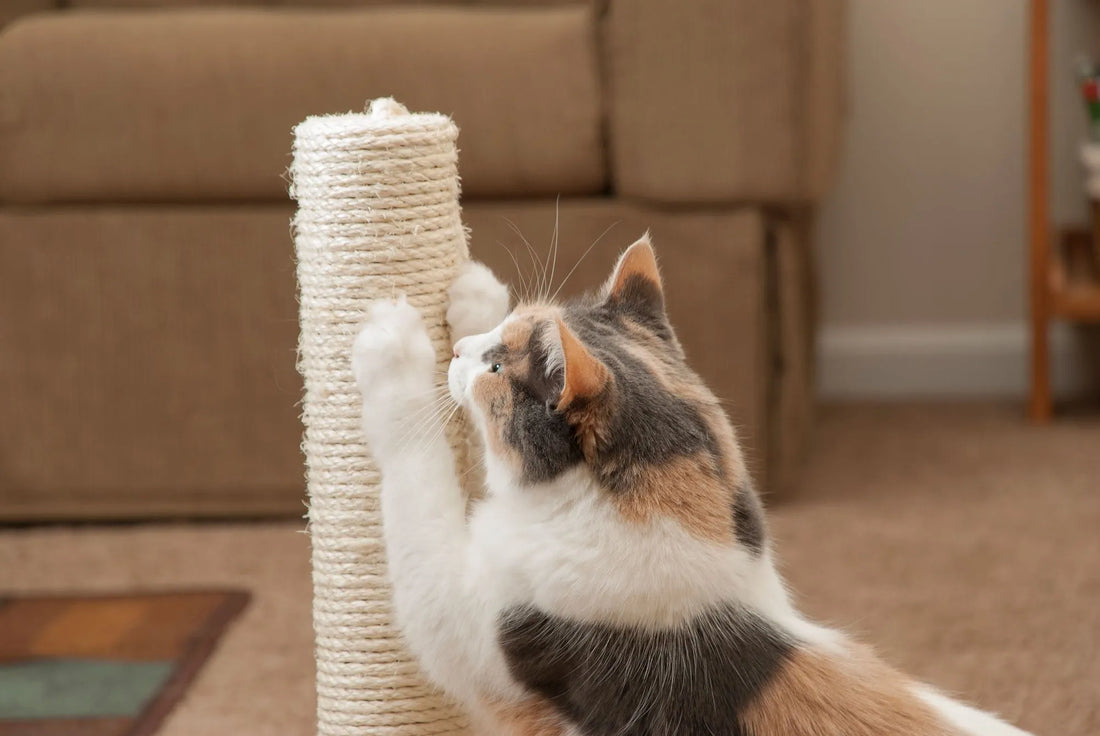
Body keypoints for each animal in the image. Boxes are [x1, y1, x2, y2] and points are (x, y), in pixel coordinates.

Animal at [349, 234, 1029, 734]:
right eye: (501, 336)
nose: (462, 349)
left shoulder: (465, 625)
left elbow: (416, 476)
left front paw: (392, 350)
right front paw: (475, 294)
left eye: (495, 369)